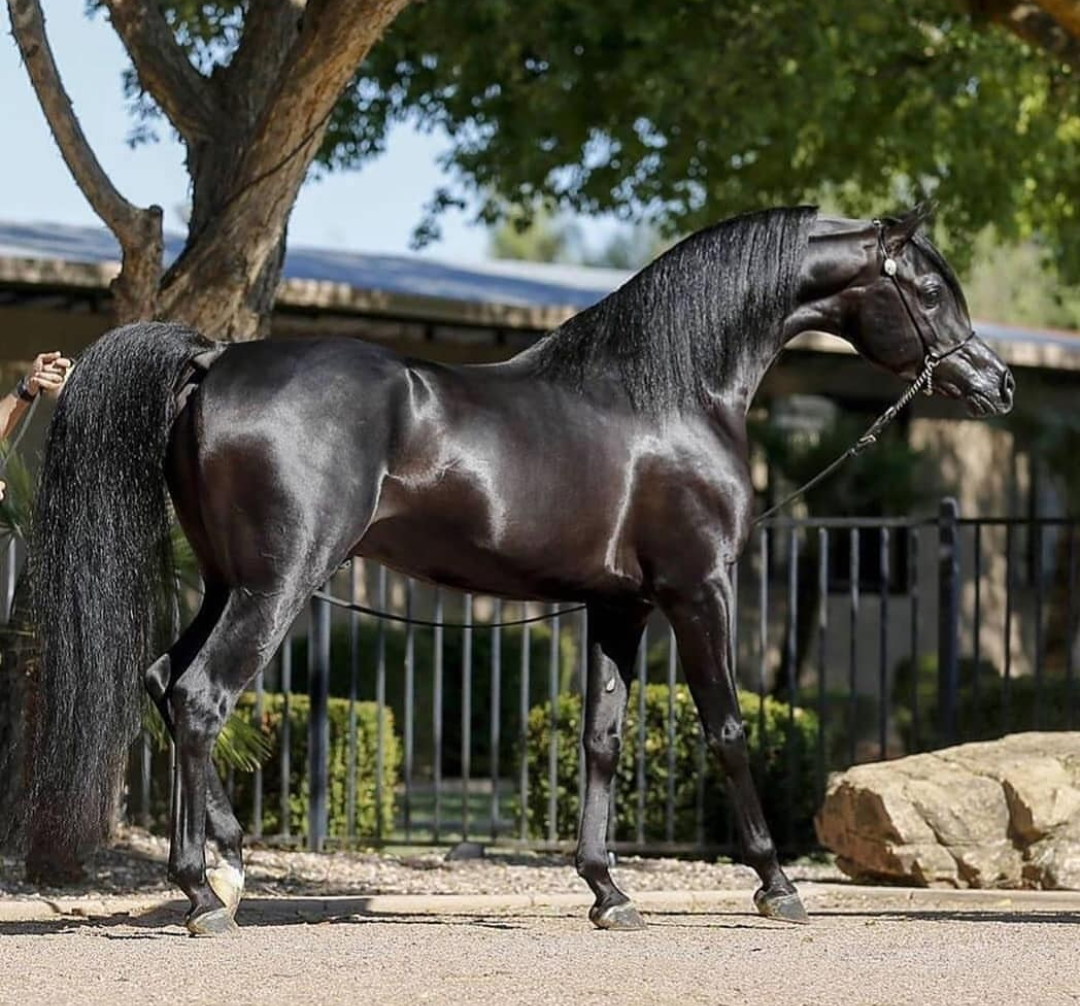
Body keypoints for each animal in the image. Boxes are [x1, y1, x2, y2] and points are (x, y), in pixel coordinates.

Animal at [27, 204, 1014, 935]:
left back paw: (232, 872)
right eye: (929, 289)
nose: (997, 384)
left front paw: (609, 892)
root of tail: (214, 357)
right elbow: (729, 731)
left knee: (165, 679)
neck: (672, 393)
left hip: (230, 580)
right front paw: (778, 886)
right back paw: (202, 894)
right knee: (201, 697)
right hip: (278, 584)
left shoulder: (620, 607)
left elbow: (602, 742)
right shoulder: (701, 589)